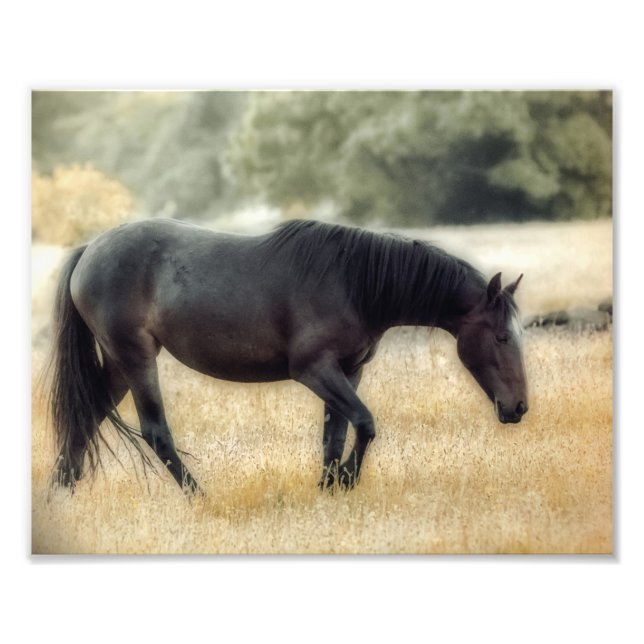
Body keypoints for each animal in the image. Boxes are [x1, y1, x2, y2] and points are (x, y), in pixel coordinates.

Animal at [48, 218, 528, 494]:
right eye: (502, 337)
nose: (519, 407)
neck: (354, 283)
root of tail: (89, 250)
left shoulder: (349, 371)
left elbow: (336, 435)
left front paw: (328, 487)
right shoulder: (314, 370)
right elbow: (365, 424)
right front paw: (346, 481)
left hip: (118, 365)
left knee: (86, 418)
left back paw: (61, 493)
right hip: (136, 359)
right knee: (155, 431)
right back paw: (200, 498)